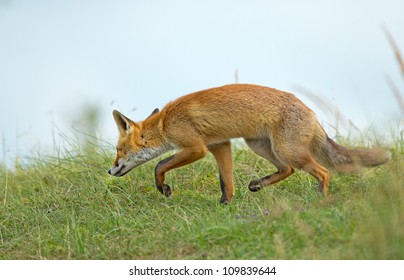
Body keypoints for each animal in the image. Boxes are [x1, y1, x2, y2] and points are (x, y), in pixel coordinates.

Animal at [107, 83, 388, 203]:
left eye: (119, 150)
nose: (109, 170)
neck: (165, 123)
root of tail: (311, 111)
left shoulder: (196, 148)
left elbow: (159, 166)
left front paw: (163, 189)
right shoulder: (220, 145)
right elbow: (226, 182)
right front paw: (225, 205)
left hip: (288, 151)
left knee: (324, 171)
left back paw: (322, 199)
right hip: (260, 146)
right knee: (287, 170)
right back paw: (258, 185)